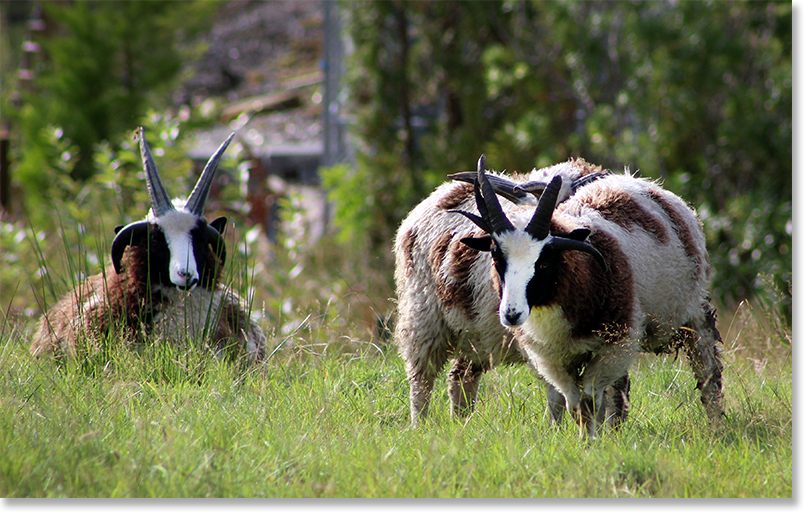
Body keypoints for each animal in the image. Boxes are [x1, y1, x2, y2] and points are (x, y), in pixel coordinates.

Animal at [394, 155, 724, 434]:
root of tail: (438, 194)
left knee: (460, 378)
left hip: (475, 336)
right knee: (421, 381)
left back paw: (460, 423)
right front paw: (562, 432)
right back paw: (420, 428)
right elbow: (564, 395)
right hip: (424, 317)